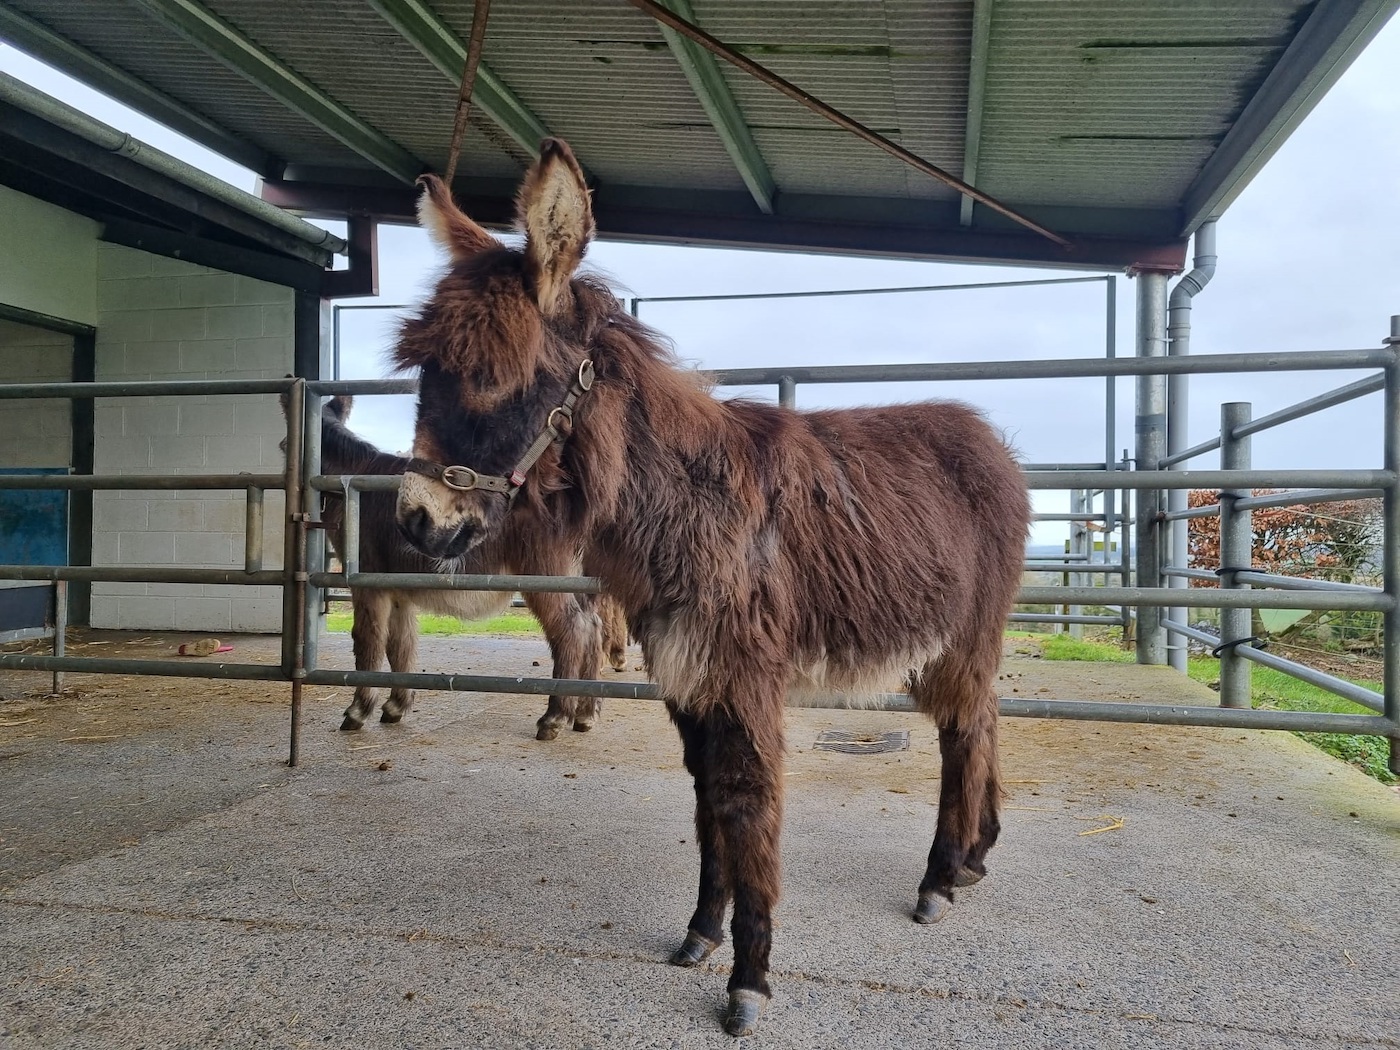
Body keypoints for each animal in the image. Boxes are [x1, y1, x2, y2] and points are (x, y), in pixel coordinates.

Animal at [311, 394, 628, 738]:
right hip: (578, 580)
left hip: (546, 575)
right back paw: (585, 713)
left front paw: (357, 710)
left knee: (572, 629)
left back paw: (554, 717)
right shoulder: (399, 589)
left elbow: (367, 641)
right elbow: (401, 645)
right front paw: (396, 706)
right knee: (593, 628)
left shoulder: (367, 580)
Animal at [390, 140, 1030, 1036]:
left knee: (964, 731)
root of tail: (988, 438)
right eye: (423, 375)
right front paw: (702, 931)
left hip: (964, 632)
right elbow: (705, 802)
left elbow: (745, 799)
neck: (683, 505)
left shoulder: (742, 671)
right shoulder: (686, 673)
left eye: (490, 378)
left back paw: (939, 878)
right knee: (982, 719)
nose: (417, 521)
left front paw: (749, 980)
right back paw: (975, 857)